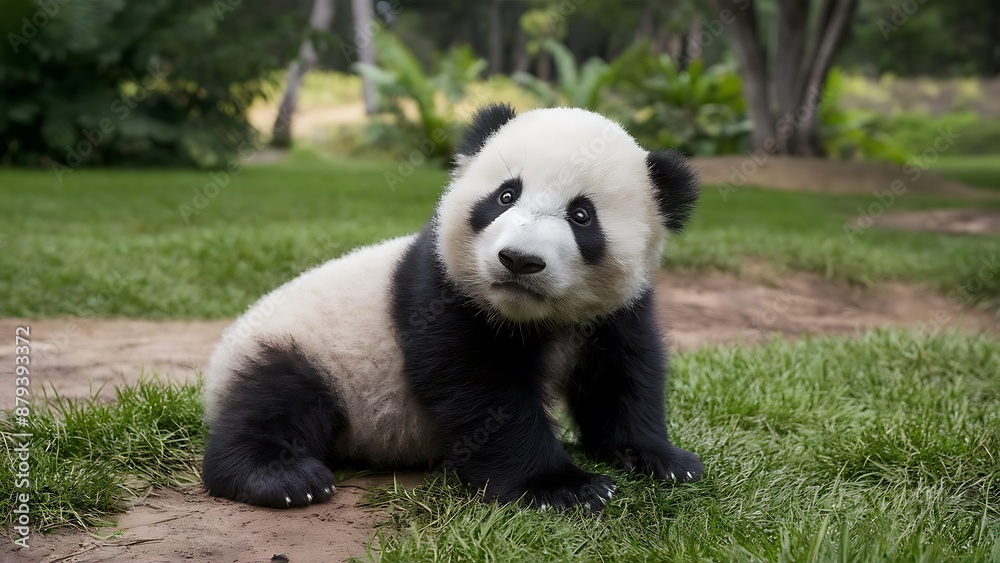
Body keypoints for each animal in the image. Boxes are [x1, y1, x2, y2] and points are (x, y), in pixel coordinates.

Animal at [201, 103, 703, 512]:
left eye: (582, 216)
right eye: (505, 195)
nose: (519, 260)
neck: (532, 316)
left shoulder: (617, 311)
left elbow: (622, 375)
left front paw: (662, 459)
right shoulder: (442, 293)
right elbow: (482, 391)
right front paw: (564, 488)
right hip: (300, 347)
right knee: (276, 402)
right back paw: (285, 479)